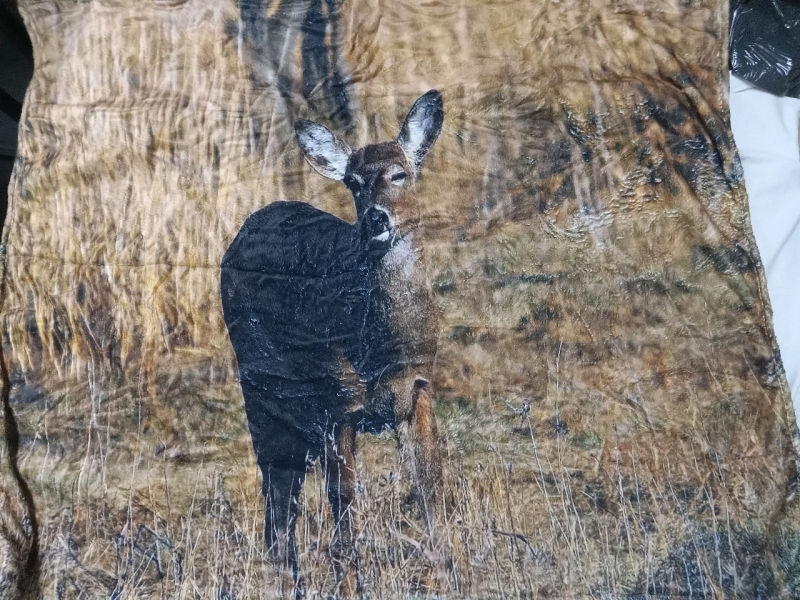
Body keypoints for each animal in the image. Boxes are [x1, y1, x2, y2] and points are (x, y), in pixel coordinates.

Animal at [220, 91, 445, 595]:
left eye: (400, 173)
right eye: (353, 183)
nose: (376, 218)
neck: (382, 349)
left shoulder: (421, 387)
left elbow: (429, 490)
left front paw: (450, 573)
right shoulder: (336, 401)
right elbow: (343, 511)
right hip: (263, 394)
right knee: (279, 502)